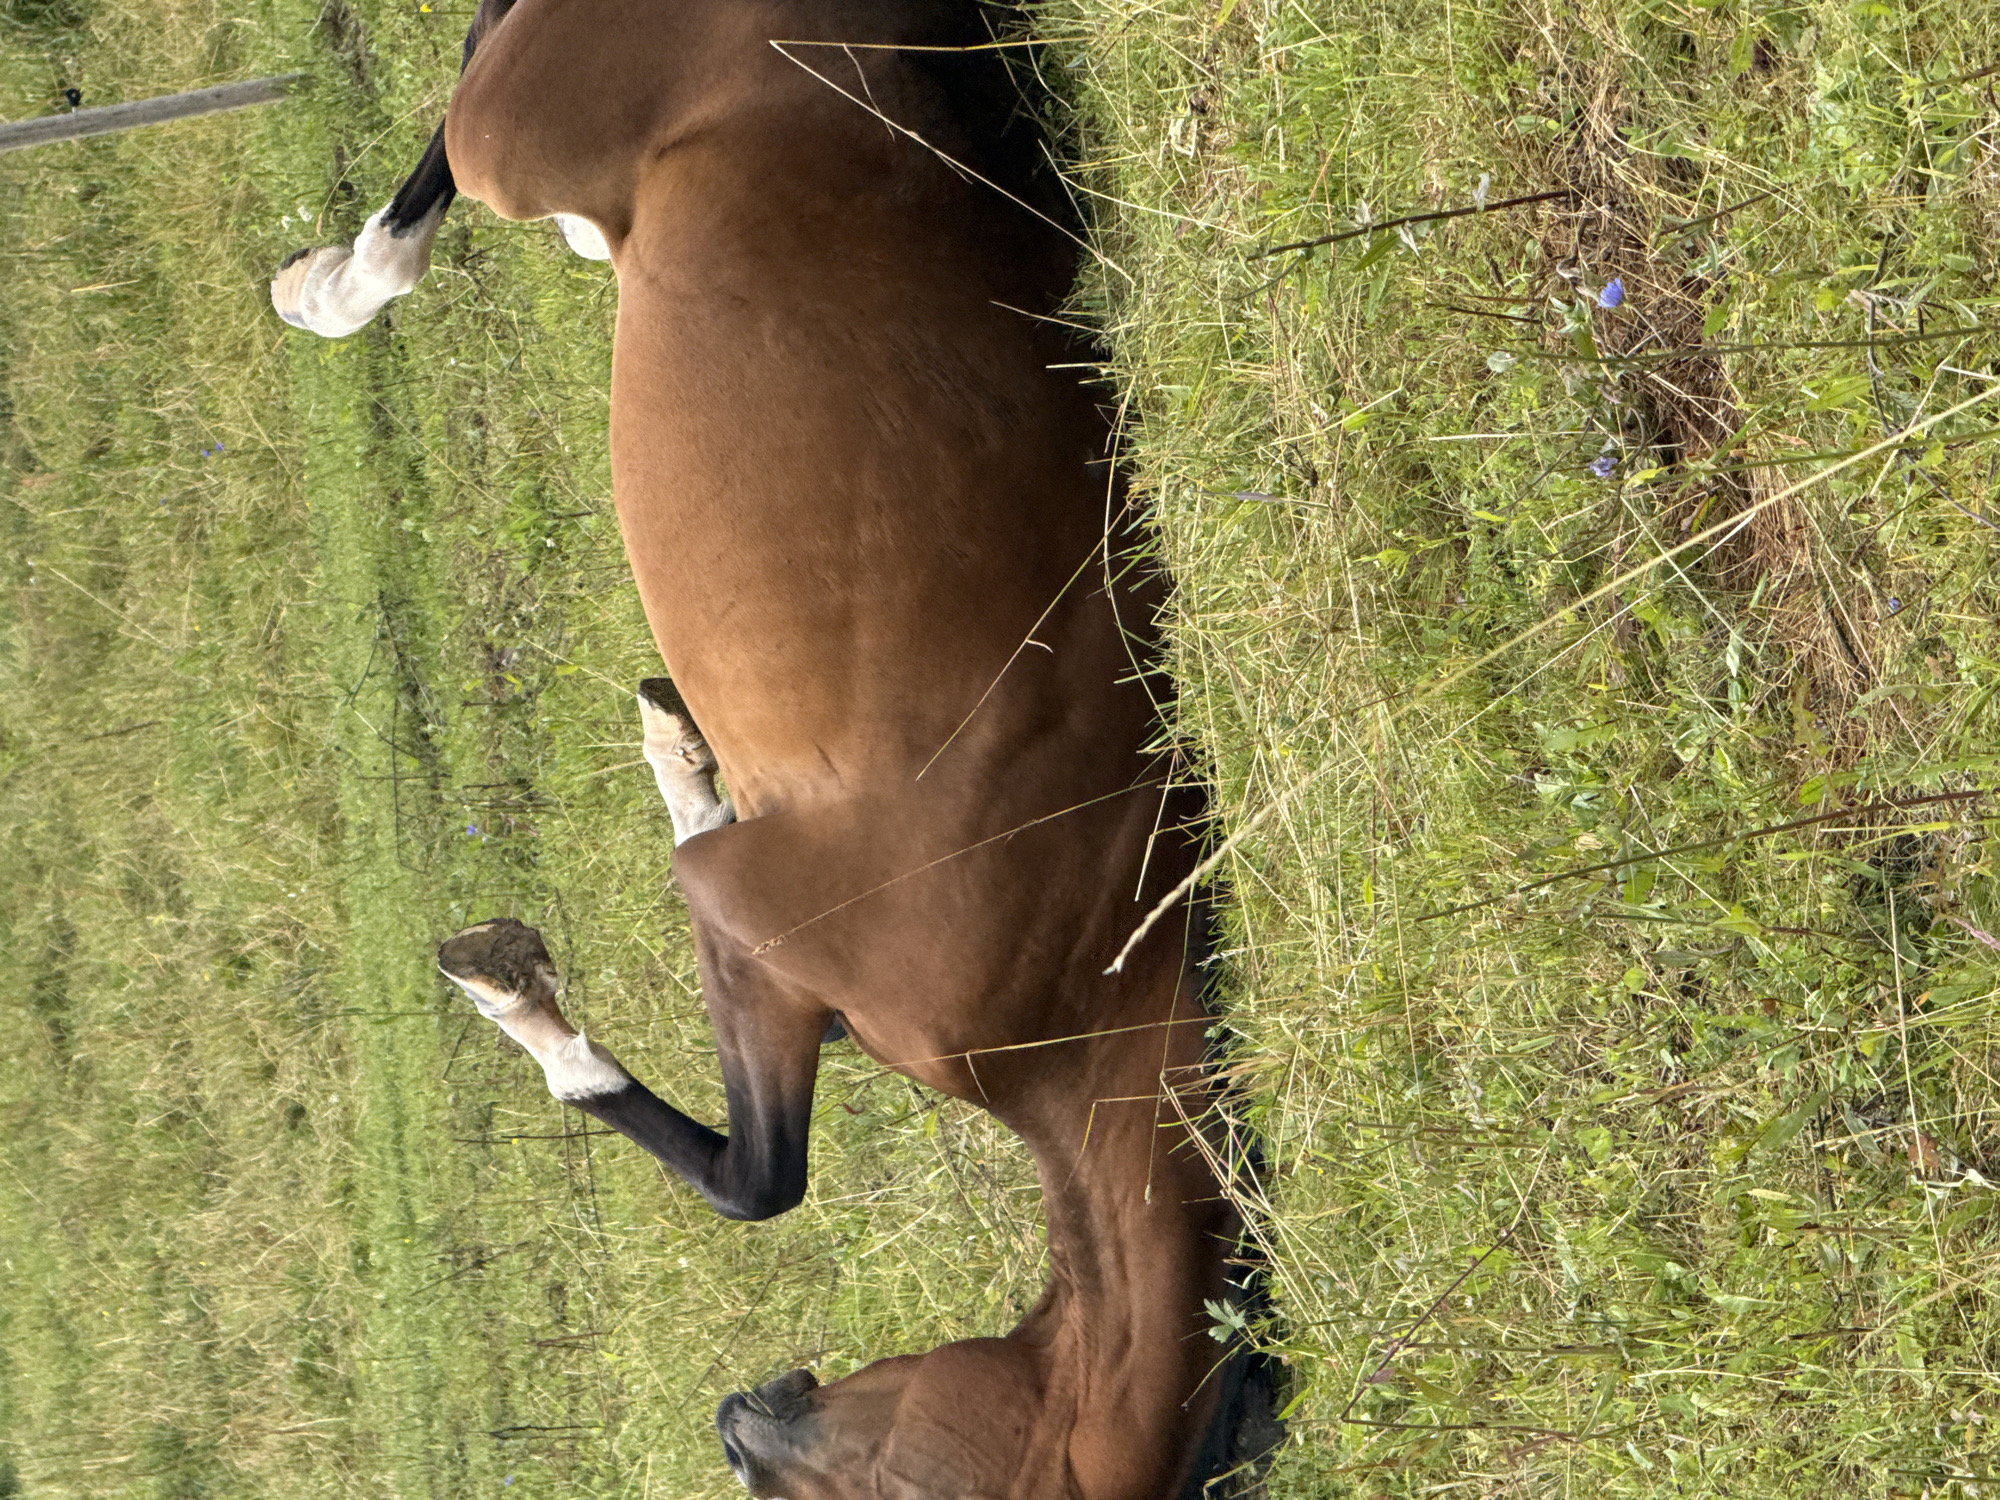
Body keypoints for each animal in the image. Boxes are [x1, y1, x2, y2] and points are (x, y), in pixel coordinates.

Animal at [274, 1, 1275, 1494]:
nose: (738, 1427)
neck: (1098, 950)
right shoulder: (747, 923)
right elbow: (758, 1178)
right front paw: (519, 972)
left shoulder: (765, 947)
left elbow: (758, 1176)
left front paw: (666, 790)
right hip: (523, 127)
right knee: (447, 143)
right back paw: (332, 285)